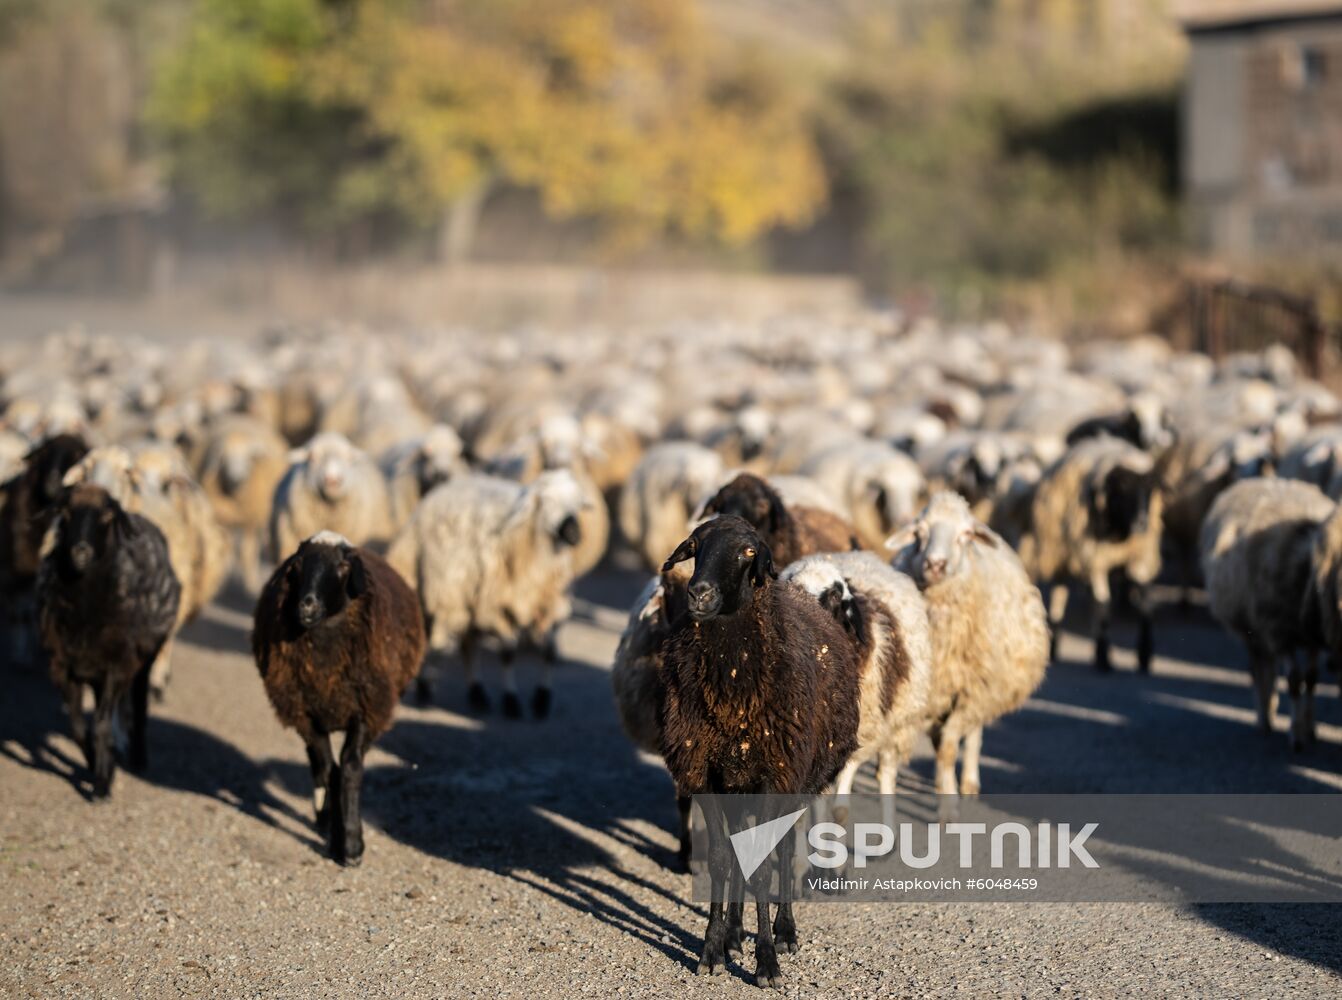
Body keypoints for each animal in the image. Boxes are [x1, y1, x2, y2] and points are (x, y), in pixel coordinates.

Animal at [37, 480, 181, 800]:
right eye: (66, 512)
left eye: (106, 516)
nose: (81, 551)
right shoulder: (63, 668)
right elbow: (79, 728)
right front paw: (97, 764)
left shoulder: (118, 667)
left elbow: (102, 724)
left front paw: (102, 783)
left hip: (142, 661)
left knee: (138, 709)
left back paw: (138, 757)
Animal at [249, 531, 421, 864]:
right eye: (298, 566)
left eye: (342, 567)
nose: (306, 605)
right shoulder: (306, 714)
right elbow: (330, 770)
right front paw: (338, 838)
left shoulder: (366, 708)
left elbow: (350, 767)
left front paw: (352, 845)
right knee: (319, 765)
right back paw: (325, 818)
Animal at [657, 518, 858, 987]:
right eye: (695, 545)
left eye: (748, 552)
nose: (699, 593)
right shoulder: (706, 775)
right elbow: (720, 859)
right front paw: (713, 949)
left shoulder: (774, 775)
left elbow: (766, 863)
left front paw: (766, 960)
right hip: (738, 784)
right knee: (737, 850)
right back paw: (733, 932)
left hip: (798, 780)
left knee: (784, 849)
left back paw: (785, 931)